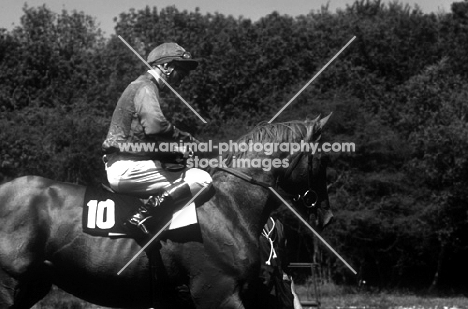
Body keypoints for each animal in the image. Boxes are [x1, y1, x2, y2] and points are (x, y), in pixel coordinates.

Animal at [0, 115, 330, 308]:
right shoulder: (218, 292)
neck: (231, 206)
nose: (326, 215)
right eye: (323, 159)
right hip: (8, 284)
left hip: (33, 284)